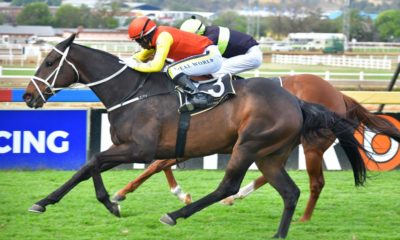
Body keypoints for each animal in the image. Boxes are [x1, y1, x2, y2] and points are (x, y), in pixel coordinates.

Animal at [111, 74, 400, 222]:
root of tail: (340, 94)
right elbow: (159, 162)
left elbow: (157, 163)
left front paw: (124, 193)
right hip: (277, 144)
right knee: (270, 173)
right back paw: (238, 196)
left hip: (311, 145)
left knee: (316, 182)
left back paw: (303, 219)